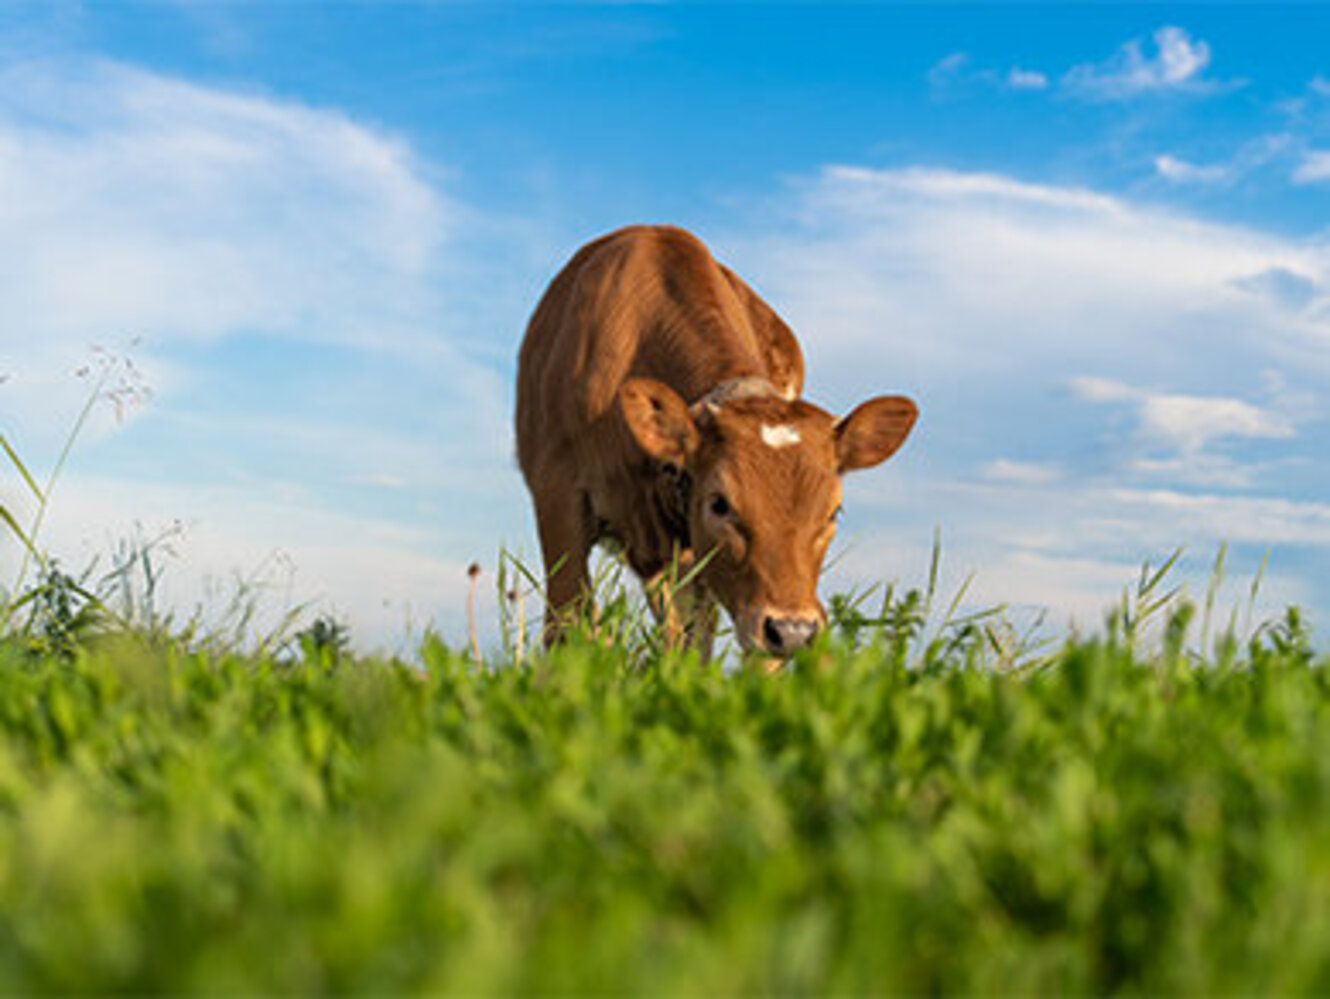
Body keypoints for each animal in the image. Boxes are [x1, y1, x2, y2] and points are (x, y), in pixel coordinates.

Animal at [515, 225, 917, 658]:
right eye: (720, 504)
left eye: (833, 513)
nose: (792, 630)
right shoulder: (557, 497)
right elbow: (566, 626)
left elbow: (697, 647)